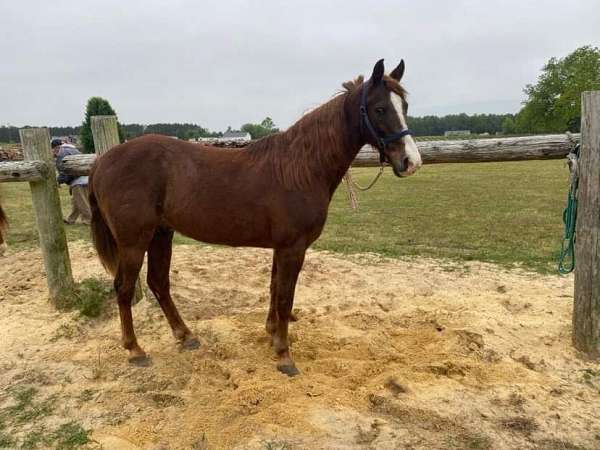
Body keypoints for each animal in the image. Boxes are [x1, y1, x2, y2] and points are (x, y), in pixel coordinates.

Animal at [89, 60, 422, 376]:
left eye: (404, 106)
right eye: (380, 109)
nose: (411, 162)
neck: (301, 168)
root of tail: (102, 161)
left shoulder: (281, 247)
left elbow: (274, 289)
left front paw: (272, 335)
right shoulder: (292, 248)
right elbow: (285, 297)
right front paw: (284, 356)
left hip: (161, 234)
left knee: (158, 283)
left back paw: (186, 336)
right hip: (134, 241)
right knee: (124, 288)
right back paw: (135, 351)